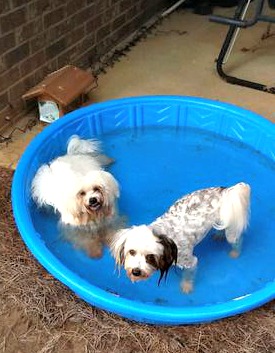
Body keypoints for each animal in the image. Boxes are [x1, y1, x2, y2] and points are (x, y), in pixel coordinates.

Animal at [110, 182, 250, 292]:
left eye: (150, 256)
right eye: (131, 252)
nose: (136, 272)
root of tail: (224, 190)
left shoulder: (190, 262)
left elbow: (187, 276)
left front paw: (186, 287)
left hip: (232, 228)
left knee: (238, 239)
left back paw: (235, 253)